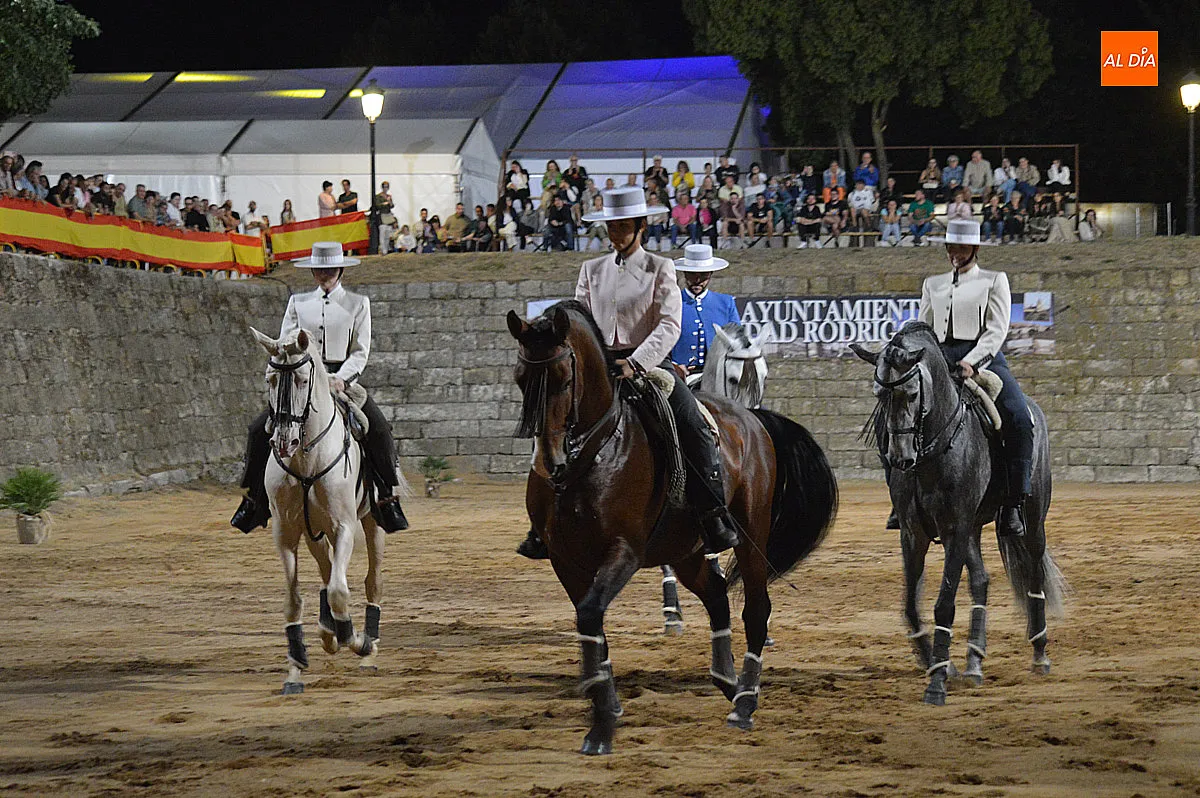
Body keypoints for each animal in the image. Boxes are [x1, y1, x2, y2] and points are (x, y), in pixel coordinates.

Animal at [250, 327, 385, 695]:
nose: (284, 442)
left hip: (372, 523)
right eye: (269, 379)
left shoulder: (344, 527)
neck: (307, 460)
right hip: (312, 532)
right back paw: (327, 632)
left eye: (300, 380)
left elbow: (340, 591)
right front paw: (296, 667)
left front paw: (356, 641)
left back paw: (368, 648)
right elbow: (294, 600)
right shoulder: (286, 533)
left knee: (371, 581)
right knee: (326, 570)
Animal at [851, 322, 1066, 706]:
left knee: (1034, 577)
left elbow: (944, 604)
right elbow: (911, 605)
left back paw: (1040, 654)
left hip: (1031, 522)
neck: (934, 449)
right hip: (973, 529)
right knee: (981, 581)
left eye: (911, 393)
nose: (900, 458)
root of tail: (1035, 410)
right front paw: (940, 665)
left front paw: (936, 684)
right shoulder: (914, 533)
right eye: (878, 394)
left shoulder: (954, 529)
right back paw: (973, 662)